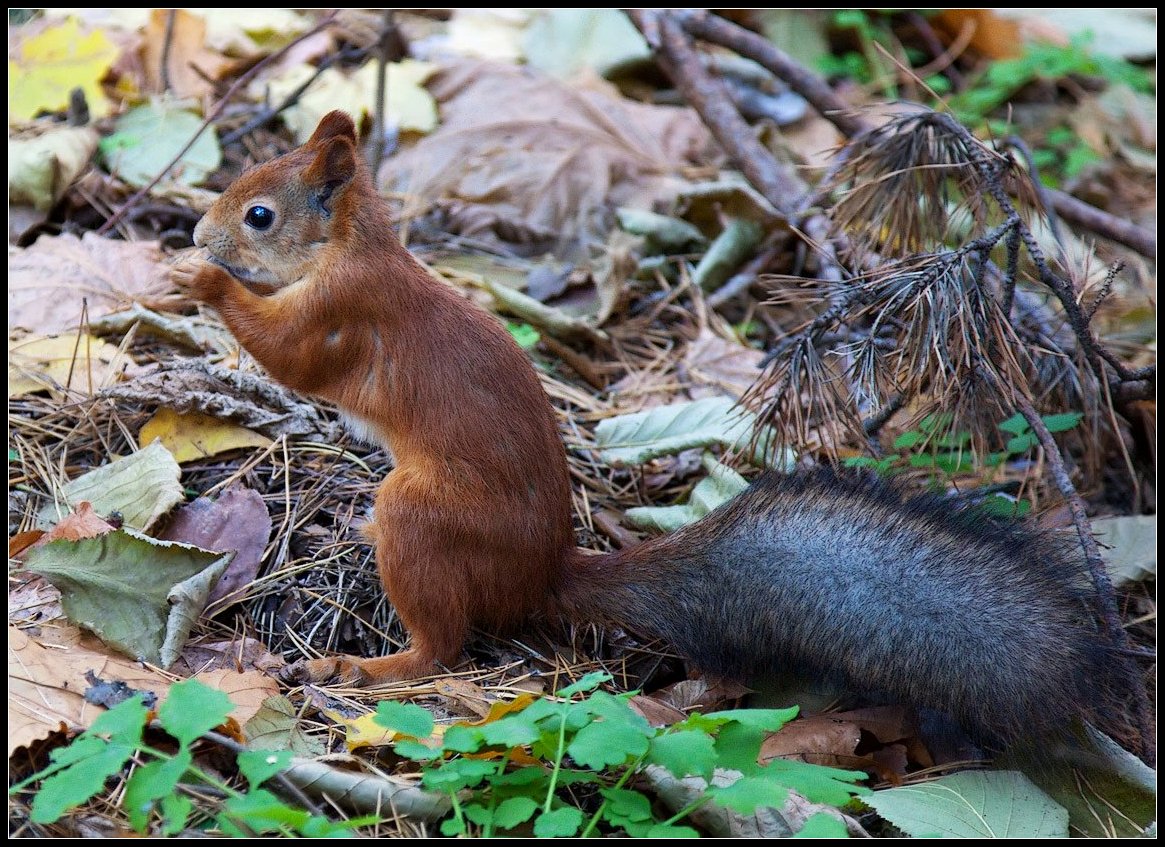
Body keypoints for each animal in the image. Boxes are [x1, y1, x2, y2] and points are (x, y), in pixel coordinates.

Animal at [172, 111, 1109, 740]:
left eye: (260, 214)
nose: (198, 229)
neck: (353, 246)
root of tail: (541, 573)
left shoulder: (343, 309)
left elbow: (292, 356)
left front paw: (201, 280)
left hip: (423, 512)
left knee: (443, 644)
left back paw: (366, 665)